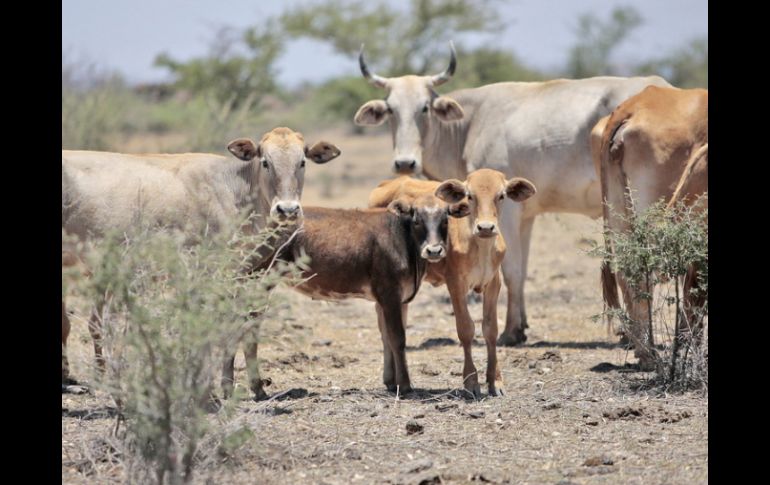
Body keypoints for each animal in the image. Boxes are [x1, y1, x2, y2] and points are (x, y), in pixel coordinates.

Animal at [61, 126, 344, 392]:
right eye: (266, 162)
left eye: (302, 162)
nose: (287, 209)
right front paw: (222, 386)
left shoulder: (251, 276)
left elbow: (248, 328)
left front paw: (254, 386)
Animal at [370, 168, 536, 396]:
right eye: (470, 196)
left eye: (501, 196)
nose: (486, 227)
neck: (479, 248)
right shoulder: (455, 284)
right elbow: (465, 329)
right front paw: (471, 382)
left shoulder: (494, 283)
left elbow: (490, 329)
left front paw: (496, 381)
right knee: (384, 327)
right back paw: (390, 377)